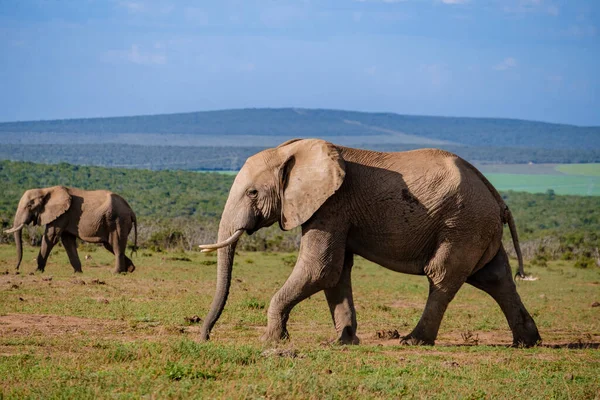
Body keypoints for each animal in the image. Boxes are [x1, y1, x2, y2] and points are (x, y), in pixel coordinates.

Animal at [3, 186, 137, 274]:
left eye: (29, 205)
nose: (16, 269)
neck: (46, 190)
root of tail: (131, 210)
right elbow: (67, 241)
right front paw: (78, 272)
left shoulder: (62, 214)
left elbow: (51, 237)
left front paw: (36, 271)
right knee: (109, 245)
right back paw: (130, 269)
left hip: (118, 220)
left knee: (116, 245)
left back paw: (115, 272)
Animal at [198, 138, 544, 346]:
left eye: (252, 192)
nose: (204, 337)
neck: (294, 151)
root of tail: (497, 196)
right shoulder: (335, 210)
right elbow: (336, 273)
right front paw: (344, 342)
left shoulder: (332, 204)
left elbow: (320, 269)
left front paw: (271, 342)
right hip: (477, 227)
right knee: (496, 278)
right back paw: (527, 343)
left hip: (462, 225)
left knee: (442, 276)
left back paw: (412, 341)